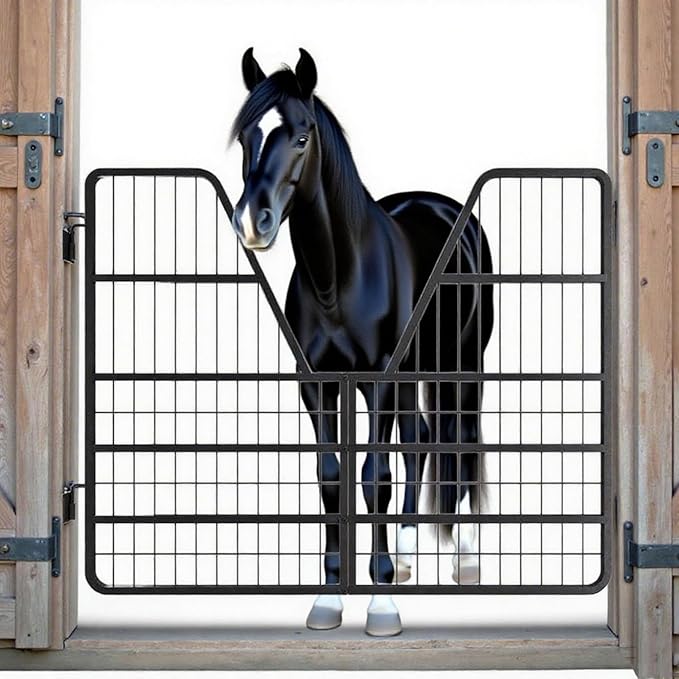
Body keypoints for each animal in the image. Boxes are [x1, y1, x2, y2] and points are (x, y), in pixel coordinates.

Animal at [229, 48, 494, 636]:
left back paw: (465, 561)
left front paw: (382, 604)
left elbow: (375, 478)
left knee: (461, 438)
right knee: (421, 439)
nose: (253, 222)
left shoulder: (378, 381)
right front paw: (329, 599)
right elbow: (332, 477)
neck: (338, 278)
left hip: (462, 362)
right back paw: (411, 557)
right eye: (245, 137)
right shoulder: (318, 385)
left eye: (302, 137)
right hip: (418, 370)